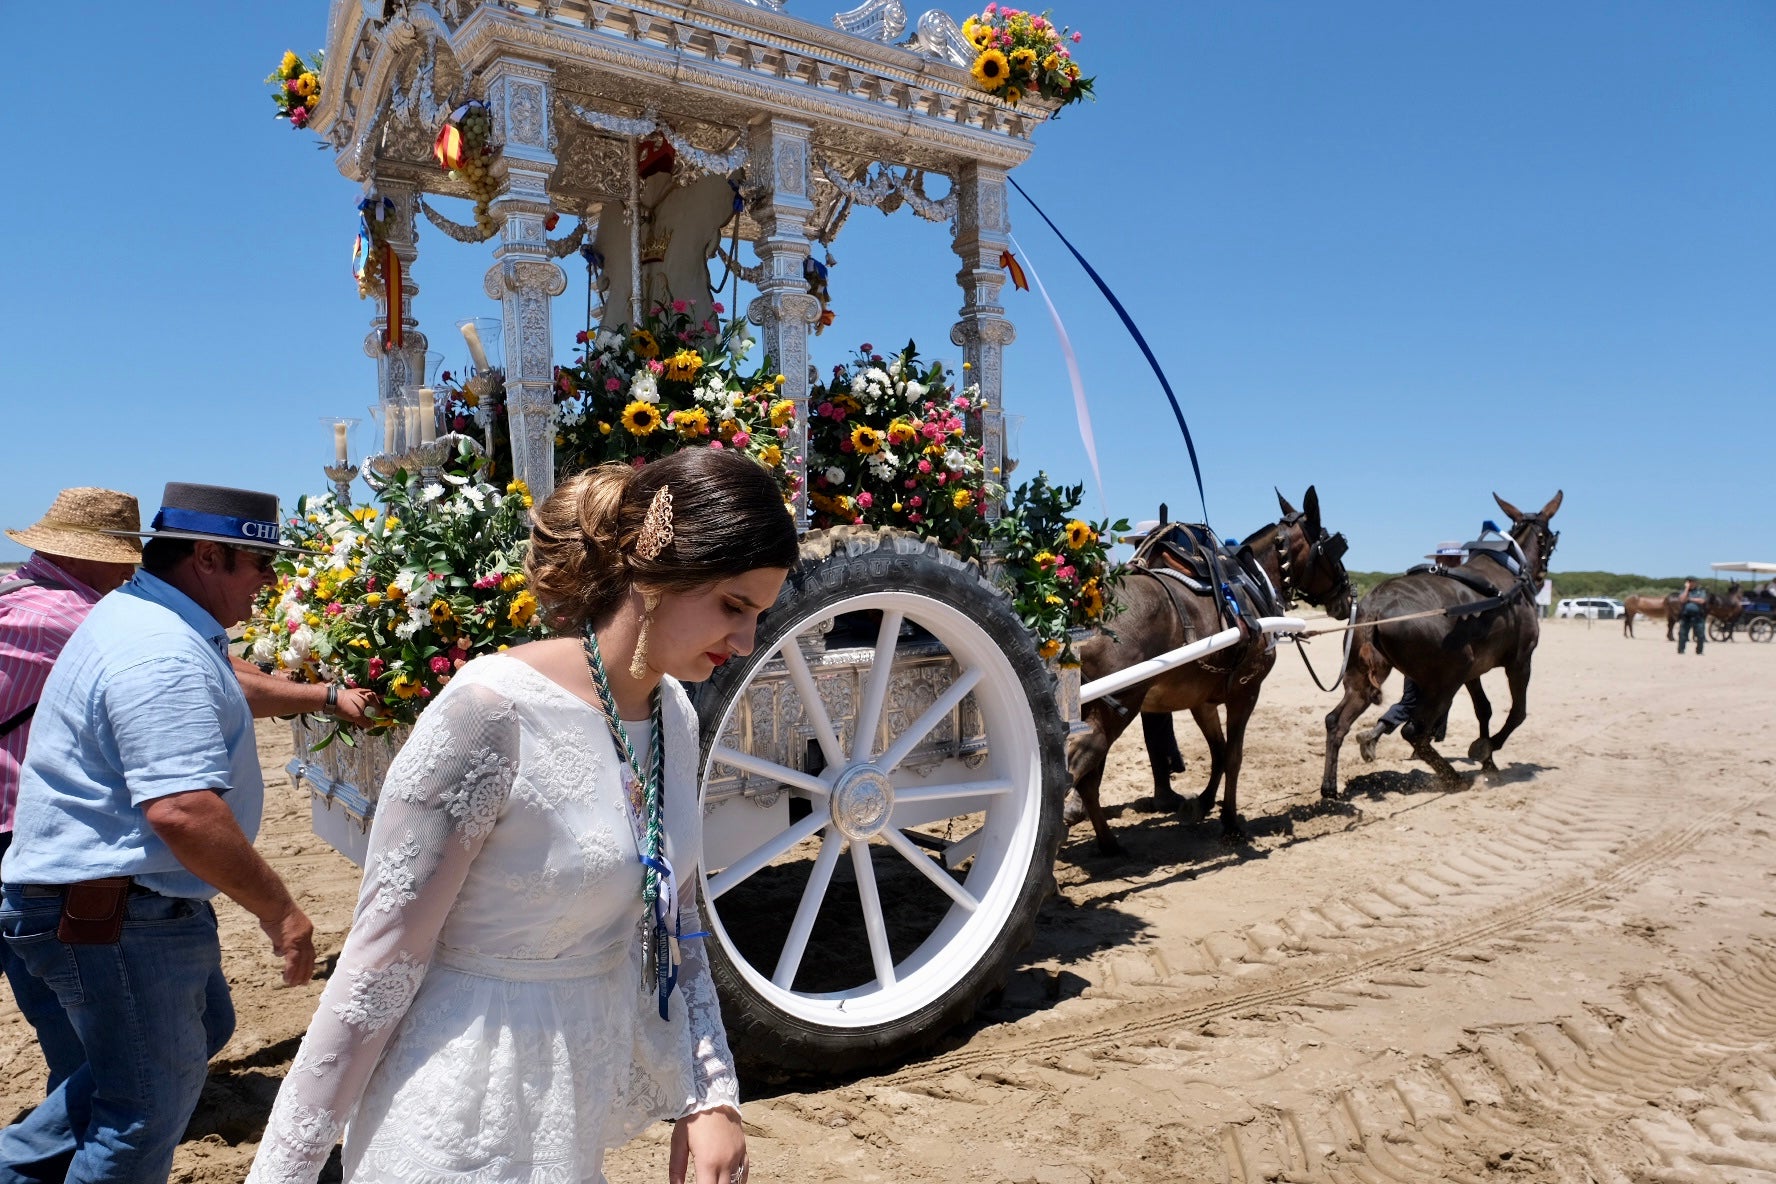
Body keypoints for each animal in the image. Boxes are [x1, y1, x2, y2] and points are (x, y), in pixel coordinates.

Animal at [1072, 482, 1349, 852]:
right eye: (1334, 547)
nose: (1348, 595)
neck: (1251, 580)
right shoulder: (1246, 693)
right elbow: (1233, 756)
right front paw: (1230, 821)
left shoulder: (1201, 700)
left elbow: (1217, 751)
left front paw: (1202, 803)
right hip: (1114, 708)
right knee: (1075, 766)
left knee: (1086, 778)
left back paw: (1107, 843)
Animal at [1314, 489, 1562, 795]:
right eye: (1550, 538)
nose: (1541, 577)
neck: (1511, 570)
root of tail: (1374, 607)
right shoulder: (1520, 661)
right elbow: (1518, 713)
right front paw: (1487, 748)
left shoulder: (1474, 672)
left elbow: (1484, 710)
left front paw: (1489, 763)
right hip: (1446, 679)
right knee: (1414, 731)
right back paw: (1453, 777)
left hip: (1363, 677)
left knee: (1336, 722)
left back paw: (1330, 788)